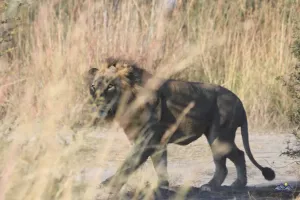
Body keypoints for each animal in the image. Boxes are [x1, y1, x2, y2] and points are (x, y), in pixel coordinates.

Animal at [84, 57, 274, 195]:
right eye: (93, 86)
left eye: (110, 86)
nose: (97, 106)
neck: (127, 104)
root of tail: (239, 101)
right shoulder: (156, 141)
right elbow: (160, 165)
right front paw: (162, 186)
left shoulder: (148, 139)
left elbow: (128, 164)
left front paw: (108, 185)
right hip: (216, 137)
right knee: (228, 162)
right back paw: (220, 185)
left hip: (220, 136)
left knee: (236, 157)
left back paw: (227, 185)